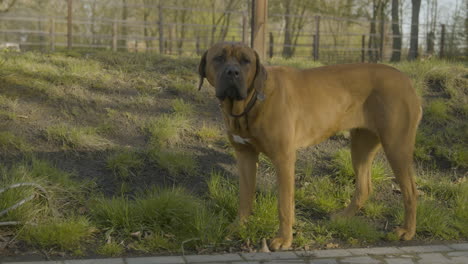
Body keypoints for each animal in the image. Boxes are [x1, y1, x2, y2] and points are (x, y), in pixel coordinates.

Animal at [197, 42, 420, 251]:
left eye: (246, 61)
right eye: (218, 58)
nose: (232, 72)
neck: (250, 103)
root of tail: (407, 80)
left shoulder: (283, 158)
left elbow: (284, 204)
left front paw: (283, 239)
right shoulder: (245, 156)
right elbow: (245, 197)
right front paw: (239, 226)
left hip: (396, 146)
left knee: (410, 191)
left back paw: (407, 231)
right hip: (360, 146)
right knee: (364, 187)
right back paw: (343, 216)